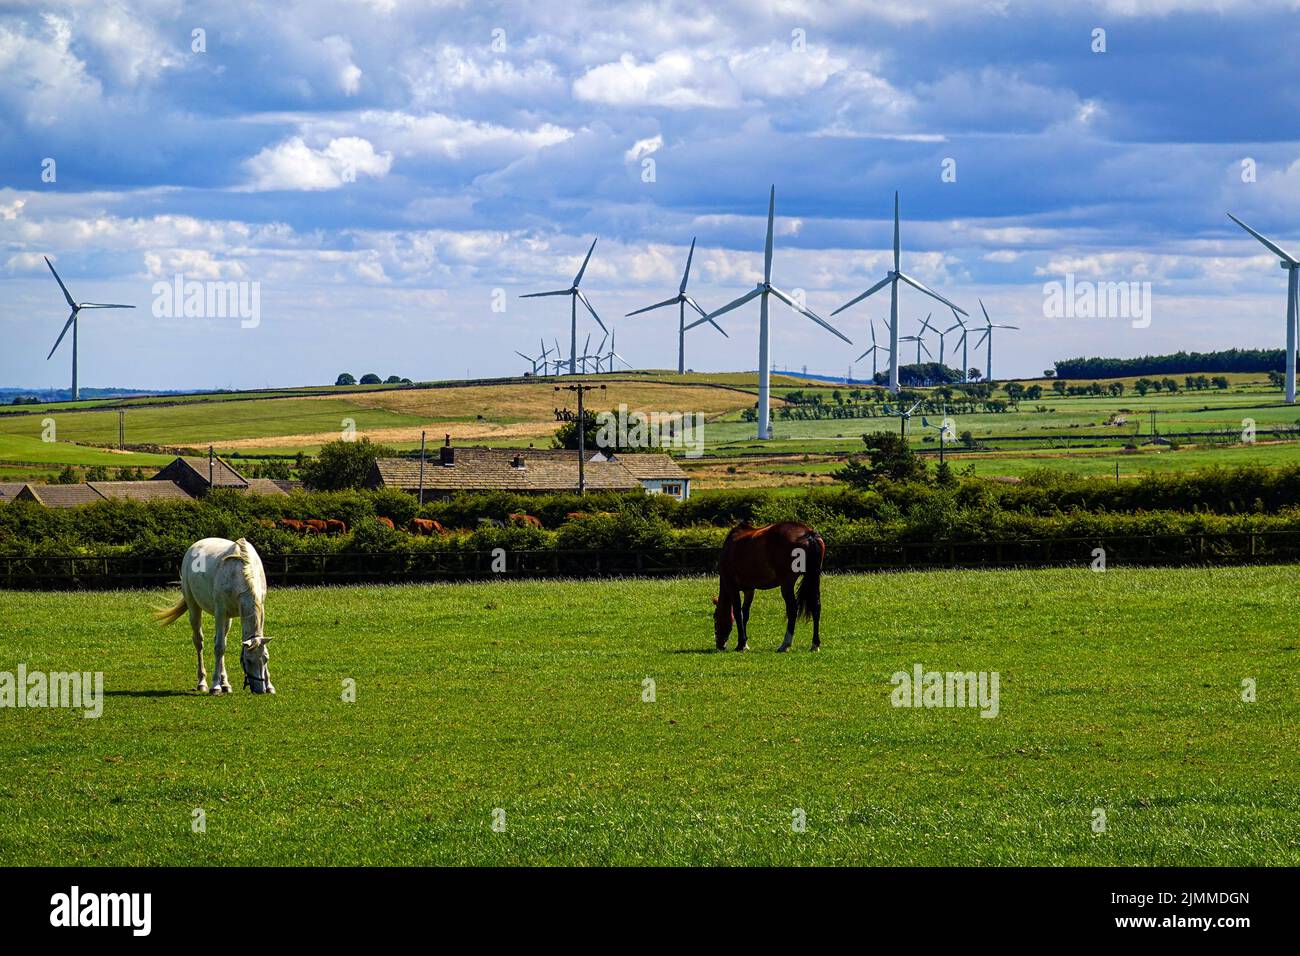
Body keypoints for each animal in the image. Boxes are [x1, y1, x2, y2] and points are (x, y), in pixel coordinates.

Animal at [152, 538, 274, 697]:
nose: (260, 690)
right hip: (194, 608)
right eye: (248, 661)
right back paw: (202, 683)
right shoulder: (220, 613)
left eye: (265, 659)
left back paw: (225, 684)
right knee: (199, 642)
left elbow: (222, 646)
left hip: (228, 618)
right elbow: (219, 648)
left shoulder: (258, 611)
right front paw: (215, 686)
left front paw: (270, 685)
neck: (241, 572)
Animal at [712, 520, 821, 655]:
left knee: (792, 610)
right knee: (816, 607)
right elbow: (745, 614)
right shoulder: (749, 590)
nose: (720, 645)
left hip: (787, 584)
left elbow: (738, 613)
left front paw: (741, 644)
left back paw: (785, 644)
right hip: (814, 578)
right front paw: (745, 643)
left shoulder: (732, 587)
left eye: (715, 619)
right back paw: (815, 644)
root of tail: (808, 533)